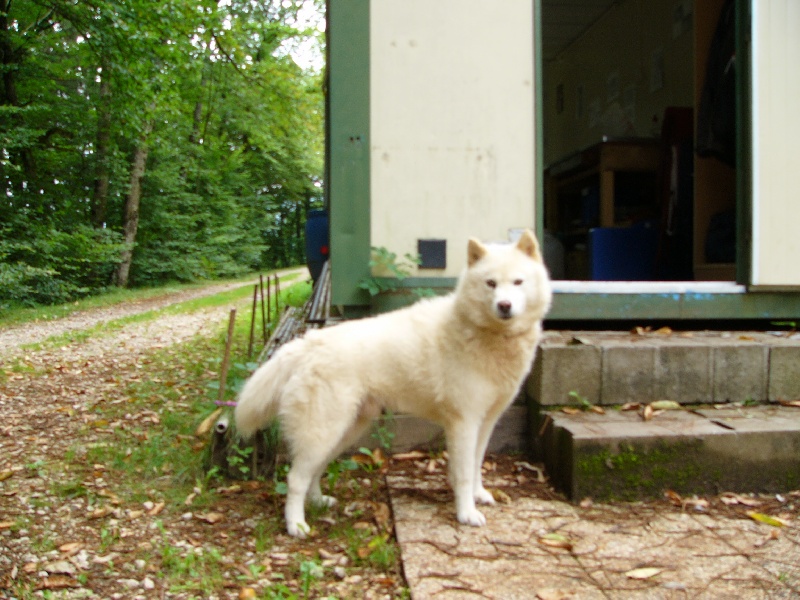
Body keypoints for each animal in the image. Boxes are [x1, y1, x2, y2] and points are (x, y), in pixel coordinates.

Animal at [234, 231, 552, 540]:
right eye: (491, 283)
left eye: (518, 282)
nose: (504, 306)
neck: (487, 334)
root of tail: (307, 343)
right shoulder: (464, 423)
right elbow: (462, 473)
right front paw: (466, 514)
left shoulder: (485, 423)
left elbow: (475, 466)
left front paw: (478, 495)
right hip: (322, 432)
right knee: (295, 478)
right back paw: (296, 525)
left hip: (343, 433)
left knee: (313, 471)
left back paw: (318, 502)